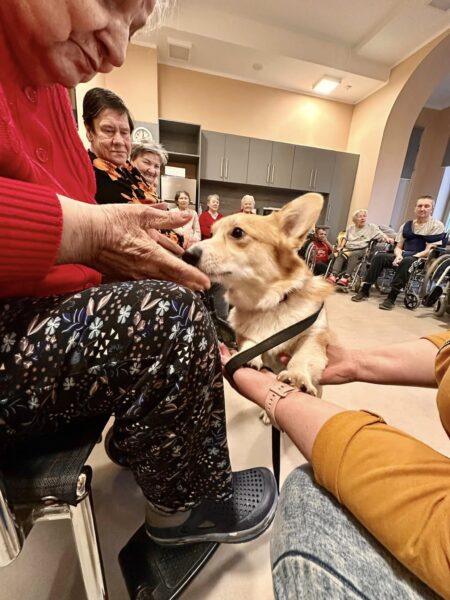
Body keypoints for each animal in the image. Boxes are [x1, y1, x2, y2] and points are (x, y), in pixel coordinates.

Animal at [185, 192, 330, 398]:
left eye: (237, 232)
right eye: (211, 234)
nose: (186, 255)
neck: (270, 301)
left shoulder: (315, 334)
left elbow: (303, 356)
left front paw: (297, 376)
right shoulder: (245, 334)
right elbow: (252, 342)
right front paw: (249, 357)